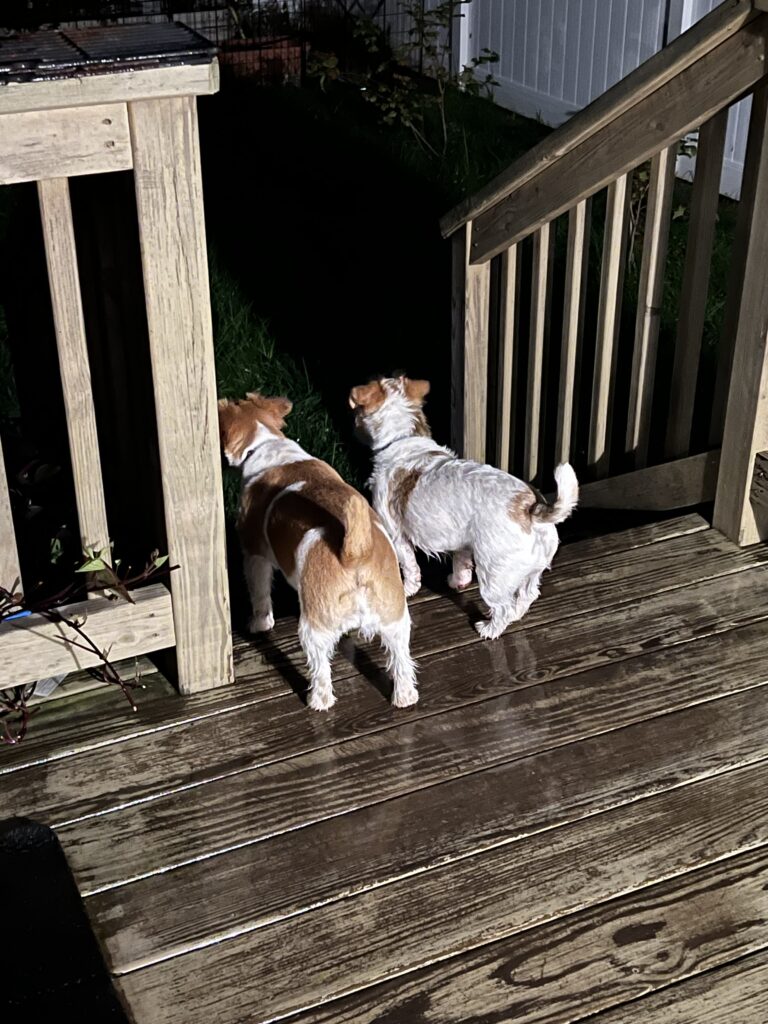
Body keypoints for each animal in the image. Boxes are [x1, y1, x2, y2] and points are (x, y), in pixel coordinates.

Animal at [219, 391, 417, 712]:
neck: (266, 442)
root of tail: (355, 552)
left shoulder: (254, 554)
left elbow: (260, 594)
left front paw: (260, 623)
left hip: (314, 628)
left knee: (321, 669)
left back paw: (318, 700)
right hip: (395, 618)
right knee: (401, 660)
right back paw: (404, 696)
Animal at [348, 376, 577, 638]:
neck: (404, 438)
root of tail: (531, 508)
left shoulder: (397, 536)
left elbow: (410, 568)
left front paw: (407, 590)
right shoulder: (462, 543)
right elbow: (461, 563)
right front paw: (458, 581)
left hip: (493, 576)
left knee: (503, 608)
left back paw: (489, 629)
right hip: (531, 572)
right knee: (526, 597)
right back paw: (515, 615)